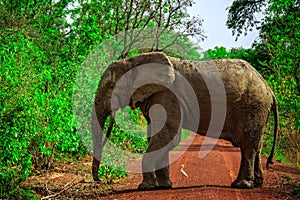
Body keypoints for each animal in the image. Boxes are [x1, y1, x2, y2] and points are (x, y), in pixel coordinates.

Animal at [91, 51, 278, 189]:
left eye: (111, 87)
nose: (99, 181)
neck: (135, 60)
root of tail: (269, 88)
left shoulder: (168, 95)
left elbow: (168, 134)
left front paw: (145, 187)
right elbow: (157, 135)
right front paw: (164, 186)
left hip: (252, 106)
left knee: (247, 145)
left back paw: (241, 185)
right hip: (258, 110)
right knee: (256, 145)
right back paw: (257, 184)